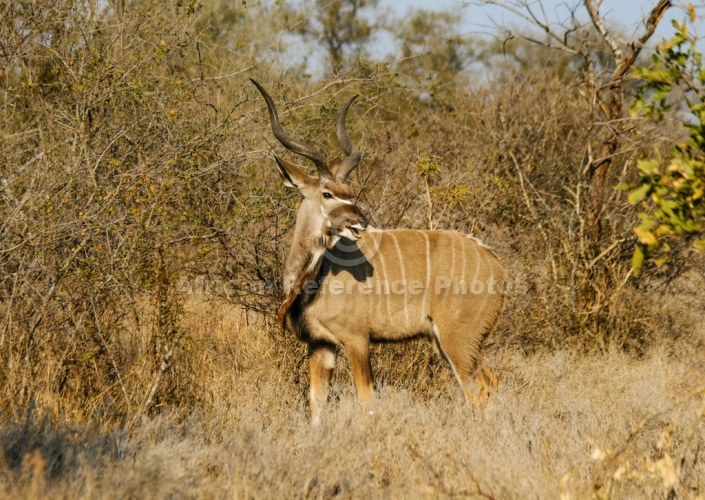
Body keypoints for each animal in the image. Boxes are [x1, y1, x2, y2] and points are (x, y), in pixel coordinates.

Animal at [250, 80, 504, 424]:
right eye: (327, 194)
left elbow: (366, 398)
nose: (361, 223)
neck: (314, 279)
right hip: (449, 341)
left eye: (350, 192)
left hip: (457, 339)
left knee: (477, 390)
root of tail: (496, 263)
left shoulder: (357, 340)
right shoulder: (320, 345)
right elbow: (317, 403)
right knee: (490, 383)